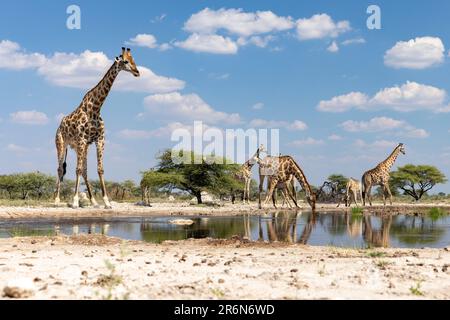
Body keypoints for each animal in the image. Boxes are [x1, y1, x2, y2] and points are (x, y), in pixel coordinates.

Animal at [53, 46, 140, 209]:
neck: (96, 108)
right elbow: (77, 169)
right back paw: (56, 200)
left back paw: (93, 201)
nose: (137, 72)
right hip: (61, 144)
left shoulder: (99, 139)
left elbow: (99, 169)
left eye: (134, 60)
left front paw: (106, 202)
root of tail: (59, 126)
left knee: (84, 170)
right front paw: (75, 201)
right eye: (125, 61)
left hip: (81, 147)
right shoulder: (82, 139)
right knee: (61, 168)